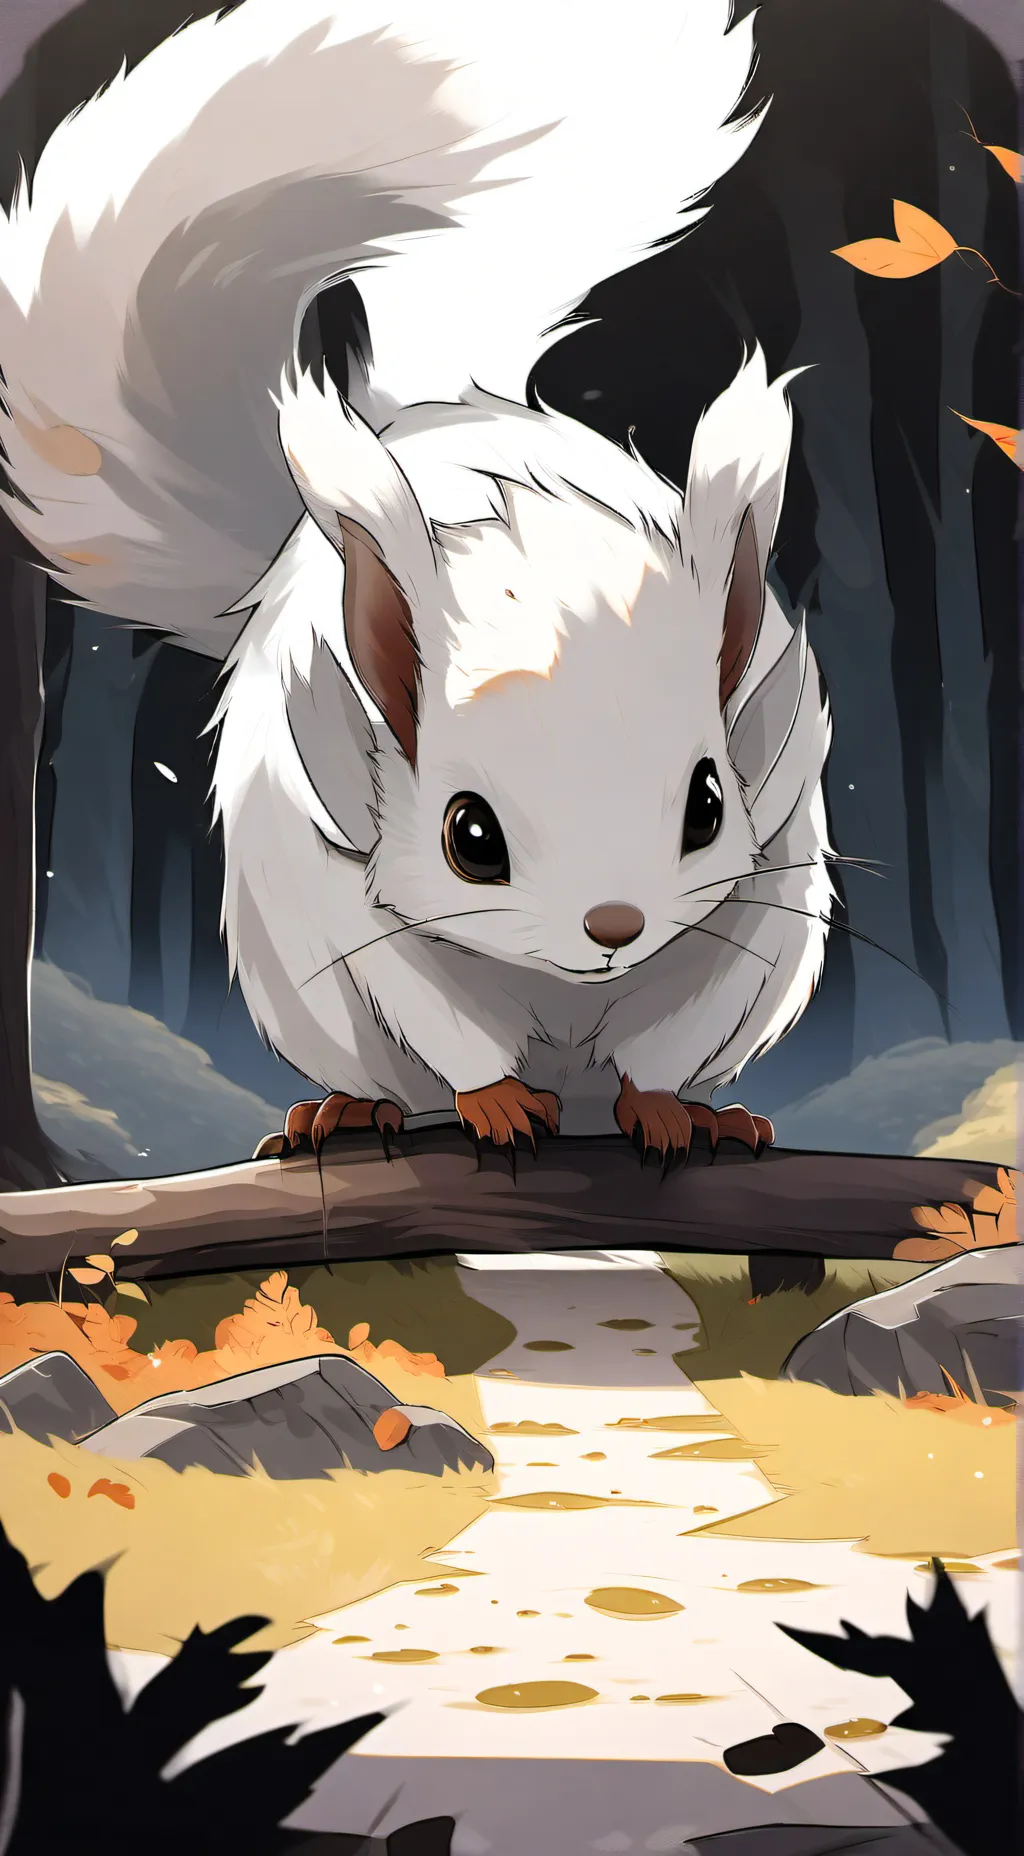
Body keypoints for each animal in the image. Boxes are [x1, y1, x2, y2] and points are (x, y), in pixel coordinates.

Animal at [0, 0, 833, 1164]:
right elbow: (434, 1009)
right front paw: (494, 1100)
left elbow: (670, 1029)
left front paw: (670, 1106)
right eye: (469, 837)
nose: (613, 926)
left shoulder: (753, 899)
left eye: (708, 804)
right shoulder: (351, 891)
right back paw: (351, 1109)